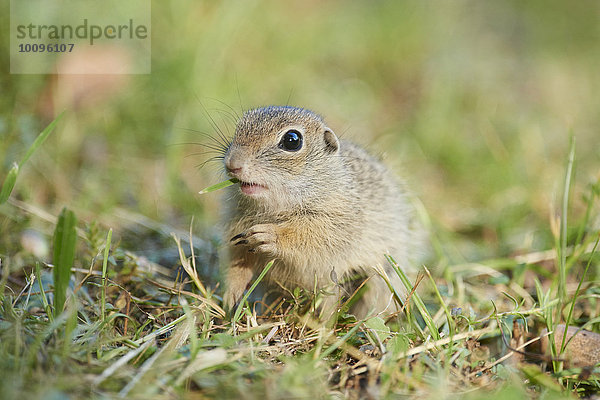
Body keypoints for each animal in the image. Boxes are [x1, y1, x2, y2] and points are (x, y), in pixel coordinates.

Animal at [220, 106, 422, 318]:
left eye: (292, 140)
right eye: (238, 128)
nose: (232, 164)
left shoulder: (337, 221)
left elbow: (310, 237)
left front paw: (270, 235)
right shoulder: (235, 227)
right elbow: (237, 260)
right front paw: (231, 294)